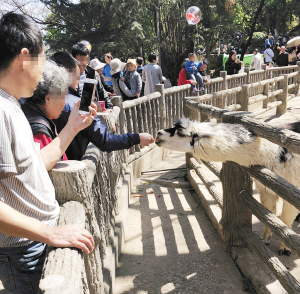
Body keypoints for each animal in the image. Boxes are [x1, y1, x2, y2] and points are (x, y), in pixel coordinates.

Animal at [156, 118, 300, 256]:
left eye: (180, 132)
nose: (158, 133)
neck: (275, 154)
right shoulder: (268, 189)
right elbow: (269, 216)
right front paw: (265, 240)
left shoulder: (291, 189)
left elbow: (284, 221)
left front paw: (285, 248)